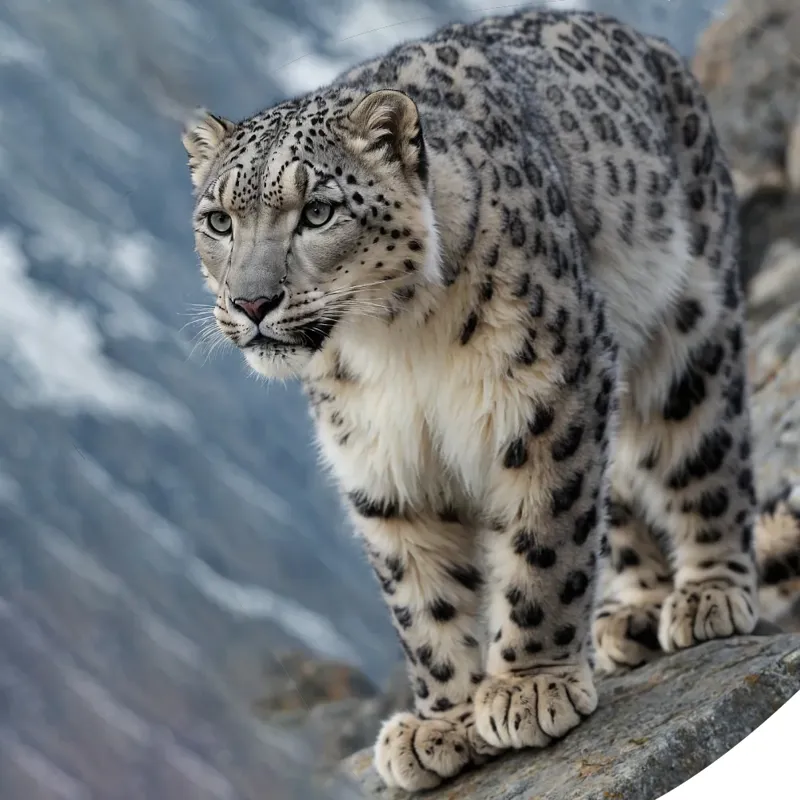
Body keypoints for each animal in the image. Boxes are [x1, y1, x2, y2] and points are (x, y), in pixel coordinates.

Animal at [181, 7, 800, 793]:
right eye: (218, 221)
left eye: (317, 212)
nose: (251, 302)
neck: (395, 346)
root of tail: (647, 41)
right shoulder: (379, 457)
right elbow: (422, 593)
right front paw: (441, 722)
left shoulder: (548, 397)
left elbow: (544, 541)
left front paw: (528, 688)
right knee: (620, 493)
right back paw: (632, 614)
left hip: (687, 327)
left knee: (703, 450)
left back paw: (708, 593)